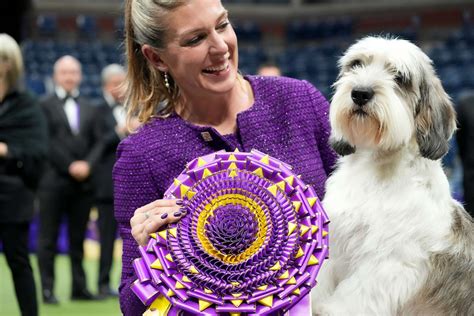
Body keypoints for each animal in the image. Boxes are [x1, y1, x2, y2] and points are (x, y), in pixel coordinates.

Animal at [312, 36, 474, 314]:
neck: (374, 167)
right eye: (356, 65)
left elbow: (352, 300)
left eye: (399, 77)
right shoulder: (336, 242)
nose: (360, 93)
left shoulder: (389, 264)